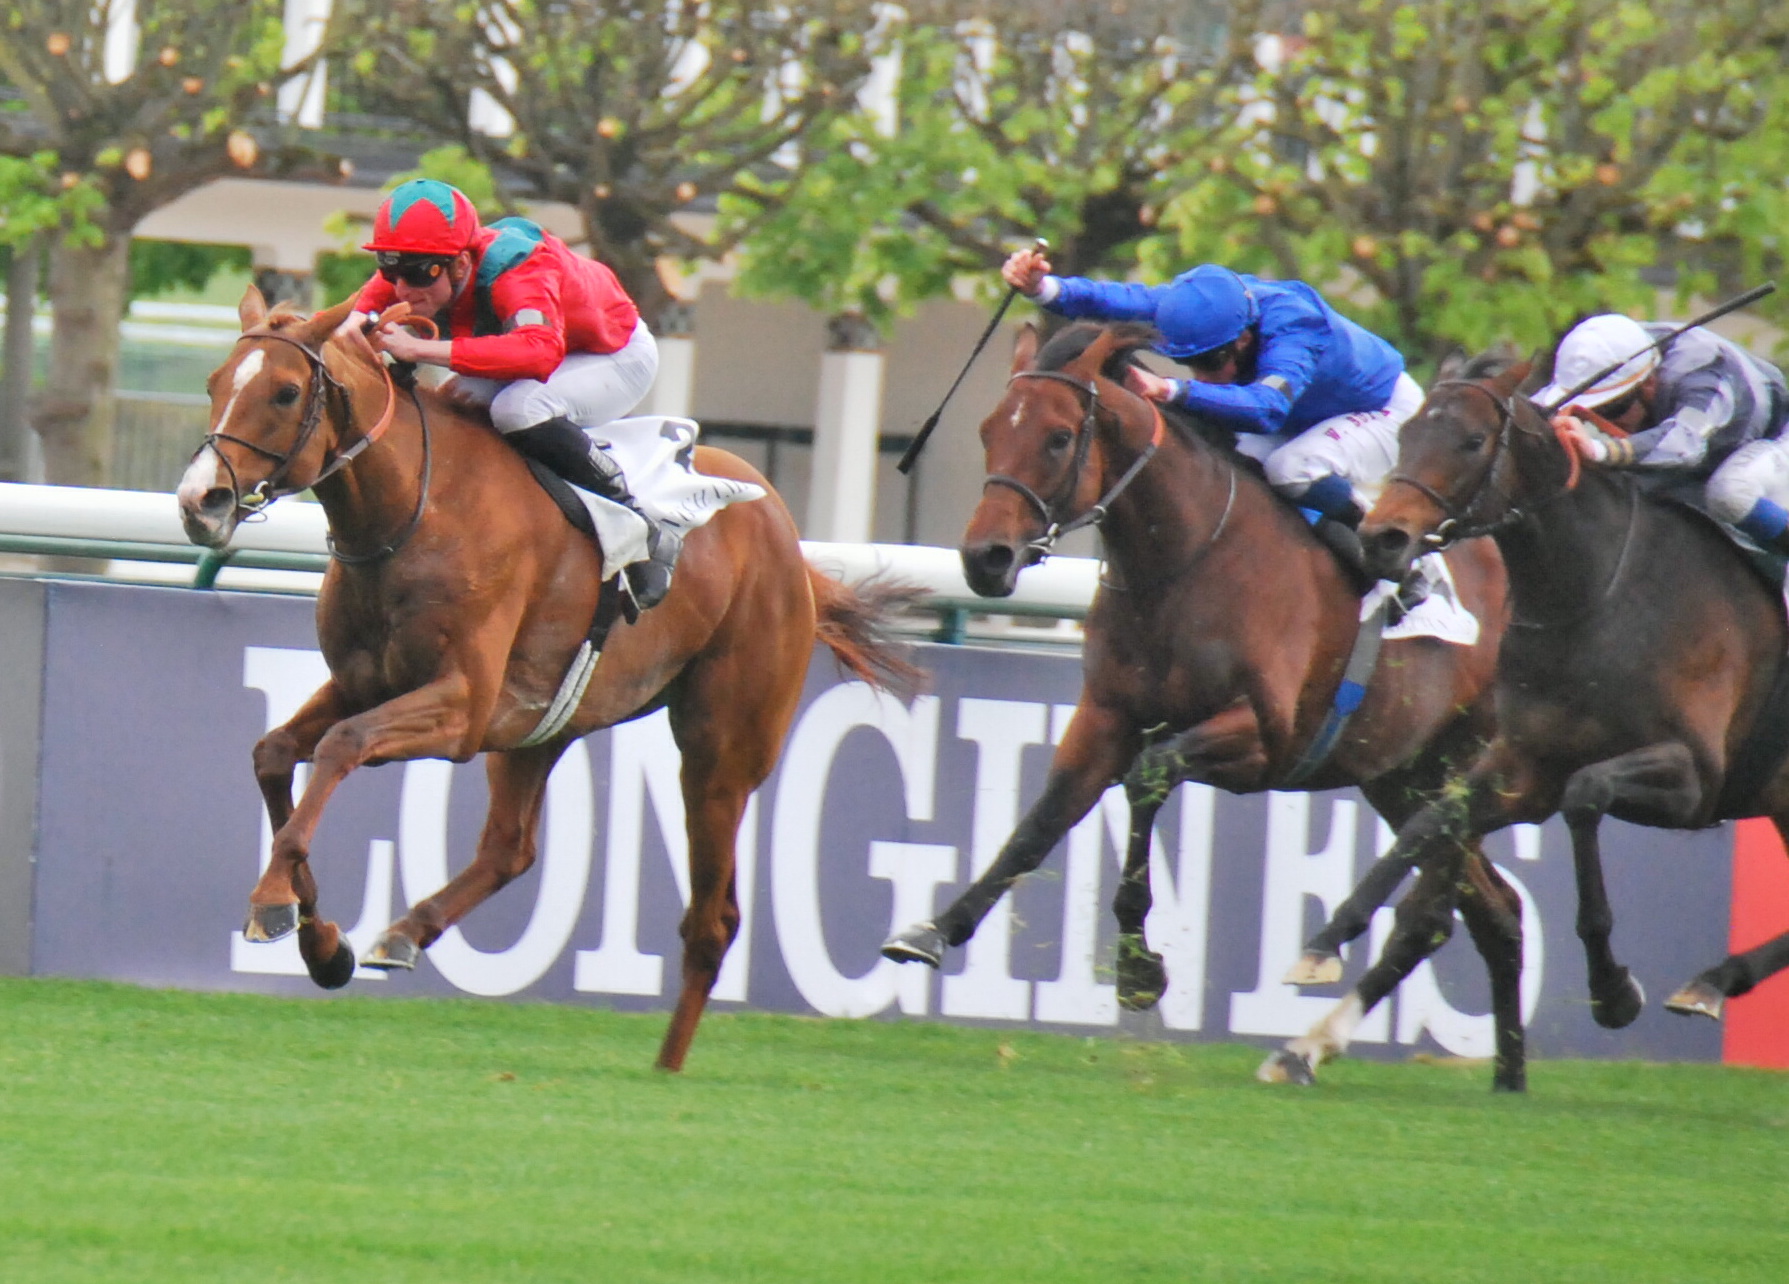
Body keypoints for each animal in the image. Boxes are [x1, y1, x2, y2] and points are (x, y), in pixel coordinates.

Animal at [179, 291, 915, 1072]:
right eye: (215, 383)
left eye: (286, 392)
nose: (201, 501)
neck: (415, 508)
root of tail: (784, 532)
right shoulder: (364, 684)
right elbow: (274, 754)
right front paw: (320, 940)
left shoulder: (461, 708)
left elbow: (341, 747)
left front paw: (275, 900)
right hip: (540, 724)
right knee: (511, 847)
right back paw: (407, 932)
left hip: (721, 750)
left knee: (711, 920)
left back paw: (666, 1069)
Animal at [876, 321, 1538, 1087]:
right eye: (989, 430)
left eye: (1059, 437)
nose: (984, 558)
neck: (1182, 562)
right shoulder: (1105, 716)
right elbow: (1040, 823)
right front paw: (933, 930)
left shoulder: (1261, 738)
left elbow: (1148, 777)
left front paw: (1138, 970)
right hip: (1402, 775)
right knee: (1495, 909)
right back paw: (1506, 1078)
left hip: (1470, 764)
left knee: (1442, 912)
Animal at [1259, 354, 1789, 1087]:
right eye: (1408, 433)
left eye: (1472, 441)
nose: (1382, 537)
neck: (1598, 595)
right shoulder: (1522, 766)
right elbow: (1429, 826)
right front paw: (1325, 946)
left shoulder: (1693, 780)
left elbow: (1585, 796)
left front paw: (1612, 990)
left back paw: (1709, 982)